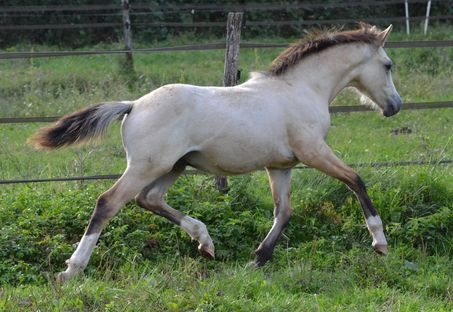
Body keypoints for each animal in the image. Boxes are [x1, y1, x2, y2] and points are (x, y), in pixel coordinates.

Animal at [30, 25, 400, 282]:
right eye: (388, 65)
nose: (395, 106)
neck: (301, 89)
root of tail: (133, 105)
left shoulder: (280, 165)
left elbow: (283, 212)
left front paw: (258, 258)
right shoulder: (313, 152)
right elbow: (356, 180)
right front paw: (380, 242)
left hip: (174, 166)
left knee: (148, 199)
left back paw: (205, 242)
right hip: (147, 166)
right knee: (109, 202)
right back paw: (72, 270)